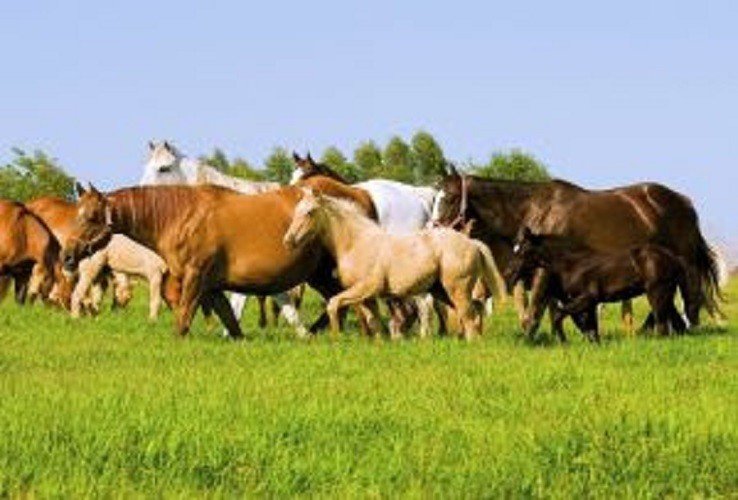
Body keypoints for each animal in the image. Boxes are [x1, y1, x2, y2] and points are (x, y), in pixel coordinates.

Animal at [60, 183, 346, 339]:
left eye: (91, 217)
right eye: (76, 213)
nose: (67, 256)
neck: (181, 217)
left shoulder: (194, 278)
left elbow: (184, 319)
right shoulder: (212, 287)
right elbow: (230, 320)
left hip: (322, 274)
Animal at [283, 189, 507, 340]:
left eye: (310, 212)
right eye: (296, 210)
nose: (289, 240)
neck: (357, 242)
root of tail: (472, 243)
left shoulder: (365, 288)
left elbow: (333, 304)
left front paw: (336, 338)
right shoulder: (367, 297)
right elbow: (373, 322)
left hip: (456, 289)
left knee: (469, 315)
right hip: (442, 291)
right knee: (475, 311)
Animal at [506, 228, 696, 341]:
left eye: (523, 250)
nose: (508, 274)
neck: (572, 263)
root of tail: (674, 258)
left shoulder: (588, 298)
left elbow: (560, 314)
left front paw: (563, 341)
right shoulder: (588, 304)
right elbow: (591, 328)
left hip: (657, 293)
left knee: (662, 325)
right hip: (666, 294)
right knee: (677, 324)